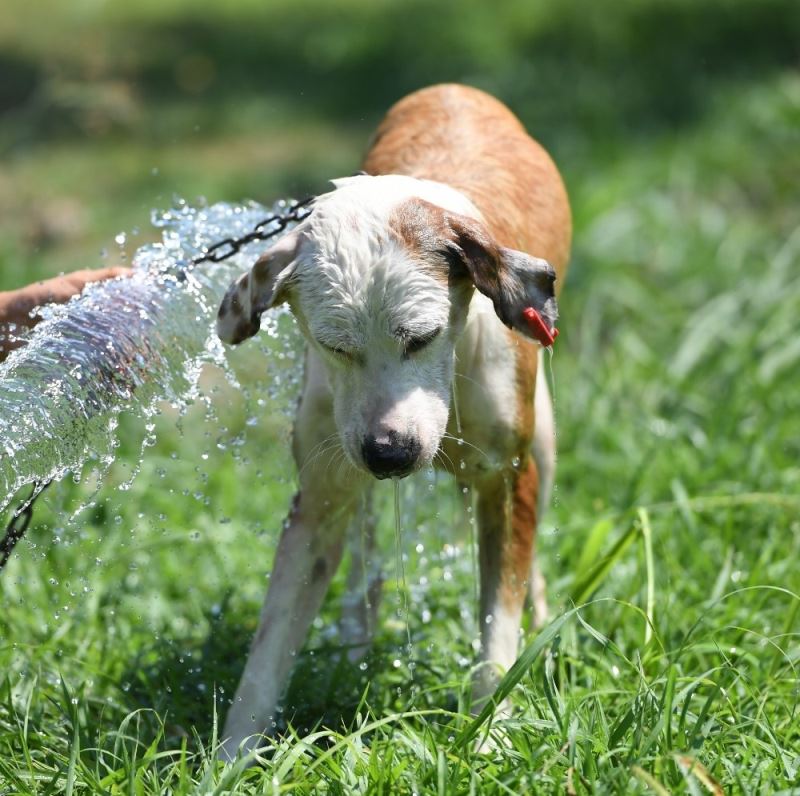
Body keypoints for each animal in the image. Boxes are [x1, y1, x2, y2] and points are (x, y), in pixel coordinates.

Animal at [216, 82, 572, 760]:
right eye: (334, 345)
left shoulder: (505, 479)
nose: (389, 452)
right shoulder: (319, 497)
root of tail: (453, 87)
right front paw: (228, 761)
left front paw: (489, 734)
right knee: (366, 556)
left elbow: (498, 626)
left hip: (542, 435)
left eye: (422, 337)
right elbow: (266, 654)